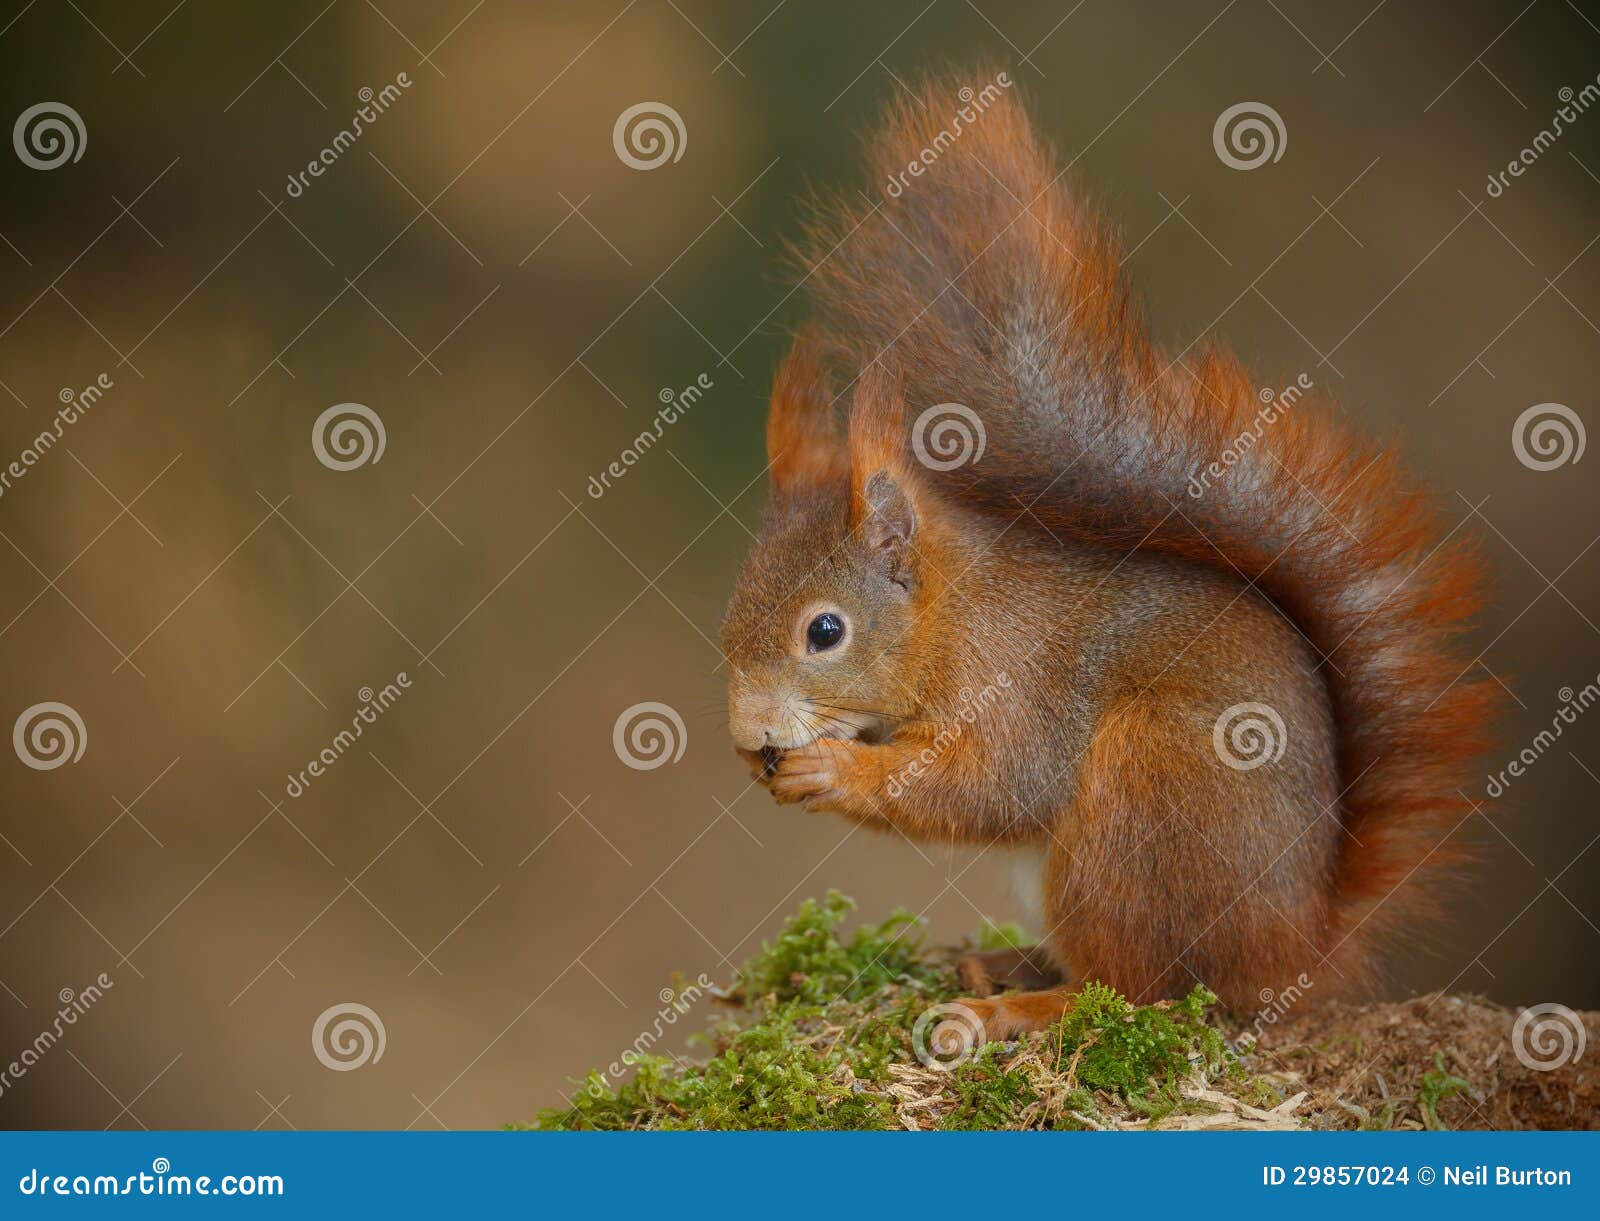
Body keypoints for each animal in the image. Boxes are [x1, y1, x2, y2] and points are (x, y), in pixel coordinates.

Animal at [719, 76, 1498, 1037]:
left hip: (1142, 798)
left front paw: (838, 767)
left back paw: (1022, 1007)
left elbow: (993, 783)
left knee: (1136, 985)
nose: (748, 735)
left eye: (824, 631)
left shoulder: (1018, 682)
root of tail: (1294, 950)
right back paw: (1006, 963)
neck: (952, 611)